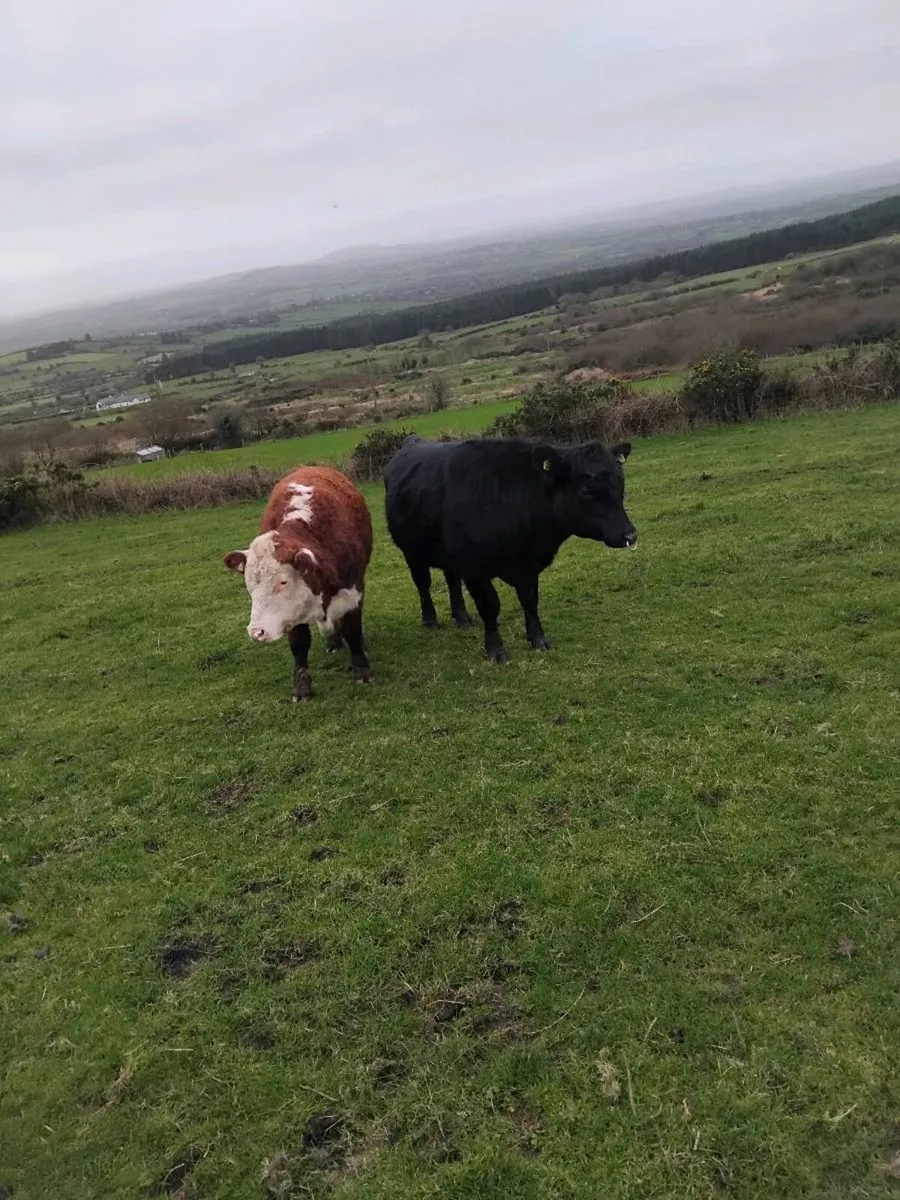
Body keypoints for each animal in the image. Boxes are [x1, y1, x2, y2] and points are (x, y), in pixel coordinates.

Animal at [224, 466, 373, 701]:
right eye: (249, 584)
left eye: (283, 581)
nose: (256, 632)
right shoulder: (292, 612)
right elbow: (299, 644)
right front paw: (301, 687)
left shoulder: (352, 593)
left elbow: (352, 630)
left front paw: (362, 670)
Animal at [384, 435, 636, 663]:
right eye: (587, 491)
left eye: (621, 487)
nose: (630, 535)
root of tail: (412, 441)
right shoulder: (475, 570)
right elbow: (490, 606)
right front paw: (495, 650)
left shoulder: (527, 566)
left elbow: (530, 601)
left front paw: (538, 640)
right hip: (412, 552)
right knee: (423, 584)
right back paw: (430, 620)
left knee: (452, 582)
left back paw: (462, 618)